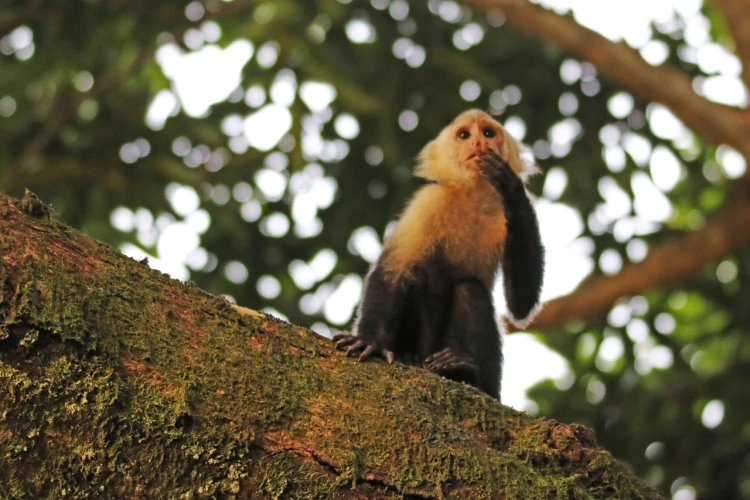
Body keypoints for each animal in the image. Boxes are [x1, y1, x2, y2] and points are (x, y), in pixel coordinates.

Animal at [334, 110, 548, 402]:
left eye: (488, 133)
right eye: (464, 135)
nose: (479, 142)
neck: (473, 199)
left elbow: (521, 304)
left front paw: (510, 187)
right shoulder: (429, 201)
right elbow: (393, 269)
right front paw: (370, 342)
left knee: (470, 289)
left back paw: (469, 376)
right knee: (416, 275)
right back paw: (410, 357)